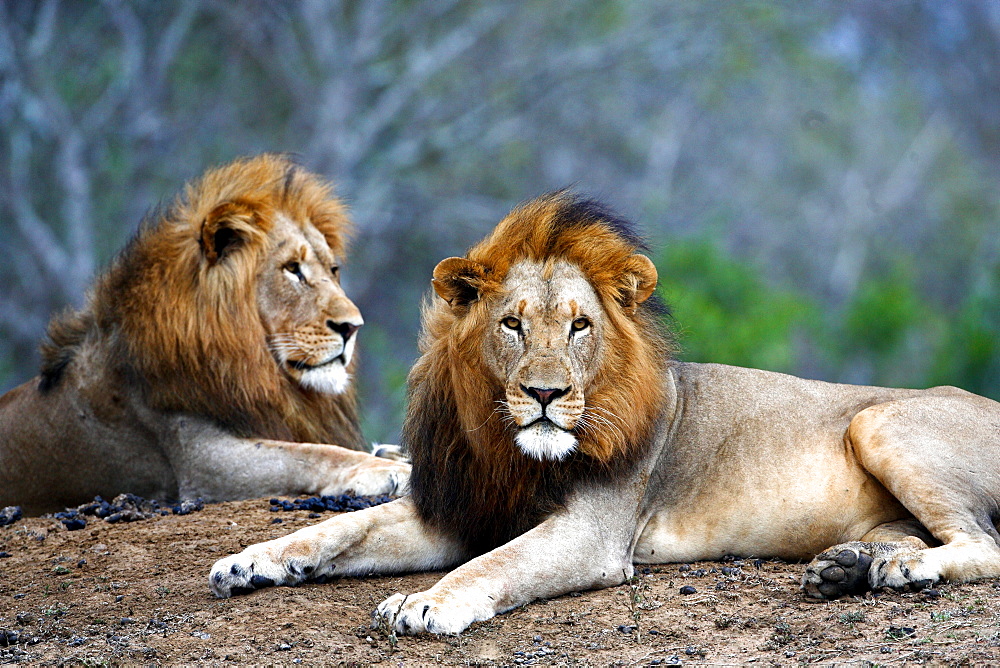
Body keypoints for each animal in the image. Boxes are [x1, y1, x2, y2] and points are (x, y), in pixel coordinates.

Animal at [0, 154, 408, 516]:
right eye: (292, 269)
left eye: (333, 269)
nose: (352, 327)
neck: (253, 365)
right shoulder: (200, 462)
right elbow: (311, 453)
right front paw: (388, 471)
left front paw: (393, 453)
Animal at [205, 190, 1000, 636]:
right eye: (513, 325)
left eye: (580, 326)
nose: (546, 395)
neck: (508, 448)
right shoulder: (457, 507)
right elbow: (339, 528)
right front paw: (251, 561)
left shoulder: (590, 533)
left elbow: (496, 564)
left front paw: (428, 604)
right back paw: (852, 567)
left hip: (878, 422)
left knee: (981, 543)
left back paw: (903, 572)